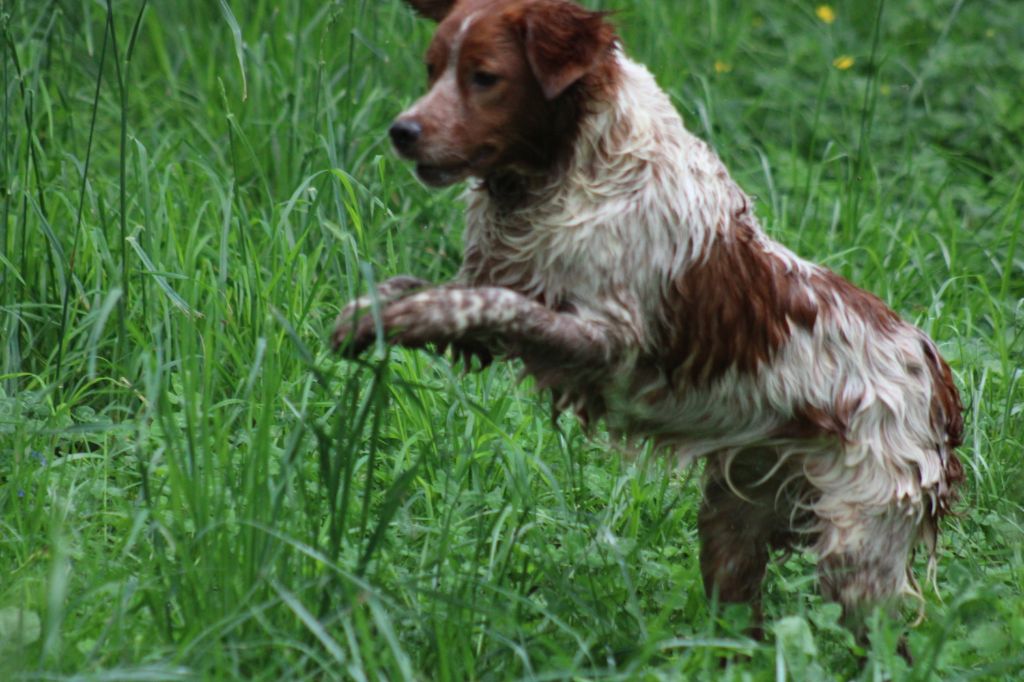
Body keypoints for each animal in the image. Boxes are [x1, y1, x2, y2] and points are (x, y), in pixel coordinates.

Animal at [331, 0, 962, 651]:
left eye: (484, 77)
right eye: (432, 69)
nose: (402, 131)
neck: (568, 173)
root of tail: (934, 371)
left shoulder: (607, 343)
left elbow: (492, 301)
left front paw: (403, 315)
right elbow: (445, 290)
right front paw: (374, 312)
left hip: (856, 554)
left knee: (887, 649)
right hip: (732, 526)